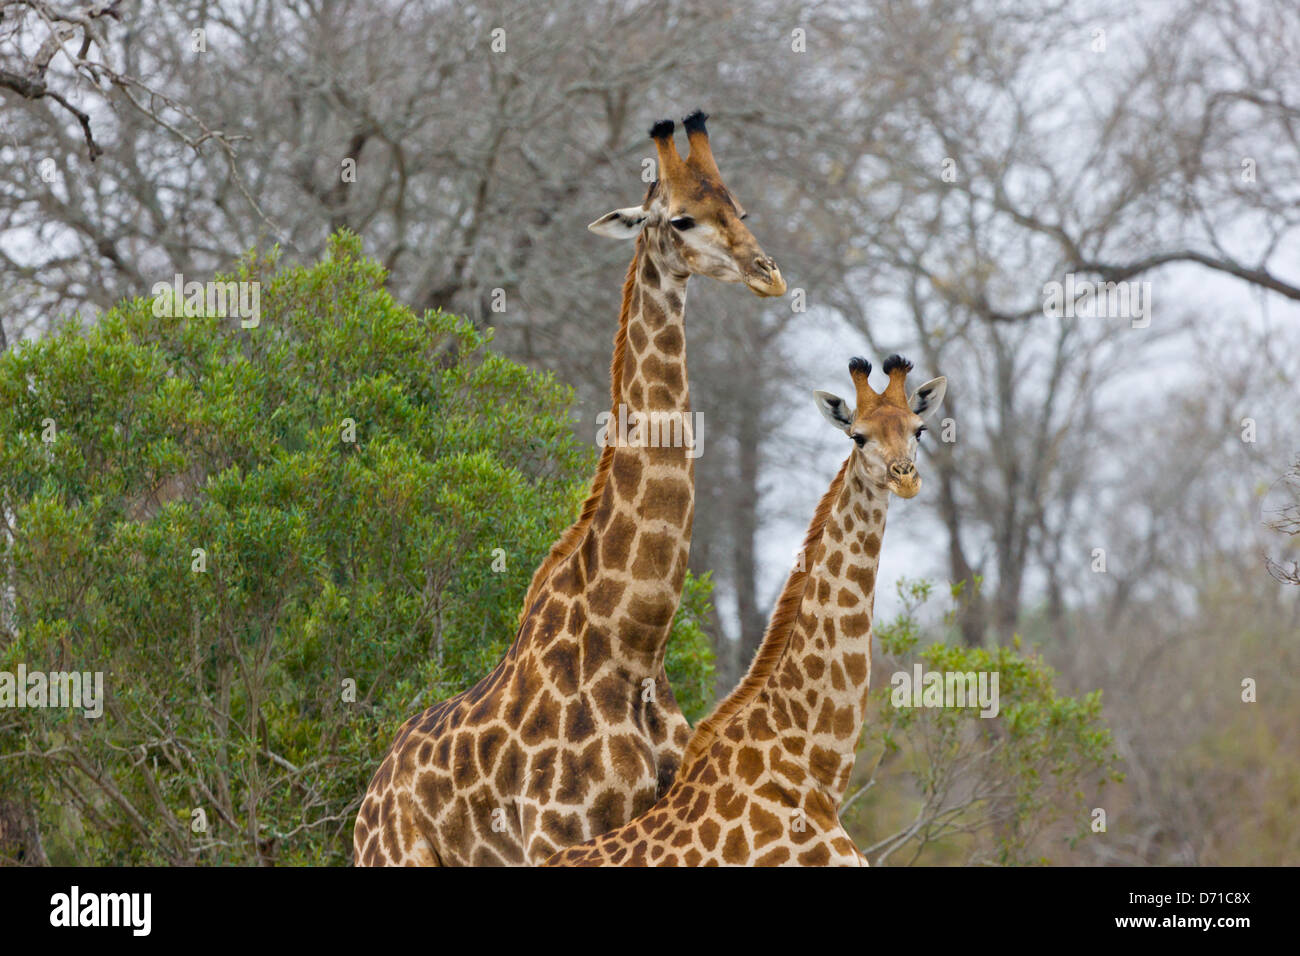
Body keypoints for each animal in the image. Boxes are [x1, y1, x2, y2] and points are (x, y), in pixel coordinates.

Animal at [353, 111, 787, 866]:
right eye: (680, 219)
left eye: (739, 209)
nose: (769, 274)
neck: (633, 646)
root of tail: (368, 799)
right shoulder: (559, 835)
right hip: (393, 859)